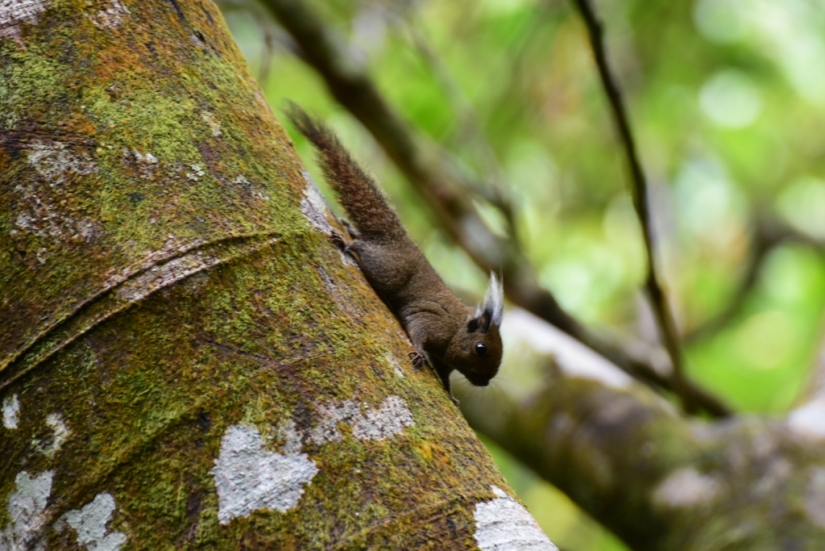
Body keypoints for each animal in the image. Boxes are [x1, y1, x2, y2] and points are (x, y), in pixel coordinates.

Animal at [286, 104, 503, 401]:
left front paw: (451, 395)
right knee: (365, 251)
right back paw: (346, 243)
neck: (457, 329)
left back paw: (348, 230)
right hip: (388, 268)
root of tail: (397, 240)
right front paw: (419, 353)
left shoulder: (444, 360)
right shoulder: (432, 320)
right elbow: (419, 332)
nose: (484, 382)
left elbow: (445, 375)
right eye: (481, 348)